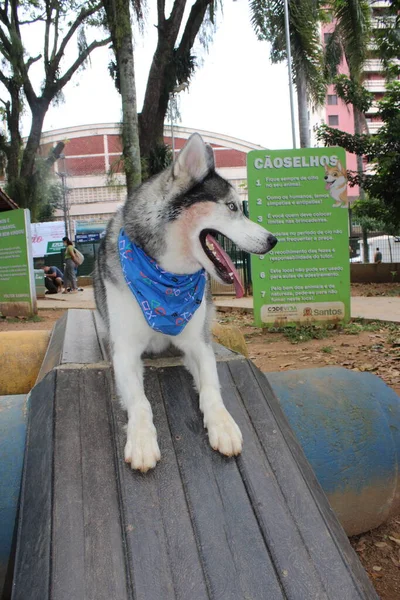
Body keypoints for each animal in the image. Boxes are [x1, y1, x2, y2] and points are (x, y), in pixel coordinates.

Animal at [95, 132, 278, 474]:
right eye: (232, 207)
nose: (273, 240)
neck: (166, 280)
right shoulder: (125, 351)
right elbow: (140, 401)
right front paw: (142, 440)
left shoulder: (198, 344)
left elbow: (211, 389)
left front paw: (223, 425)